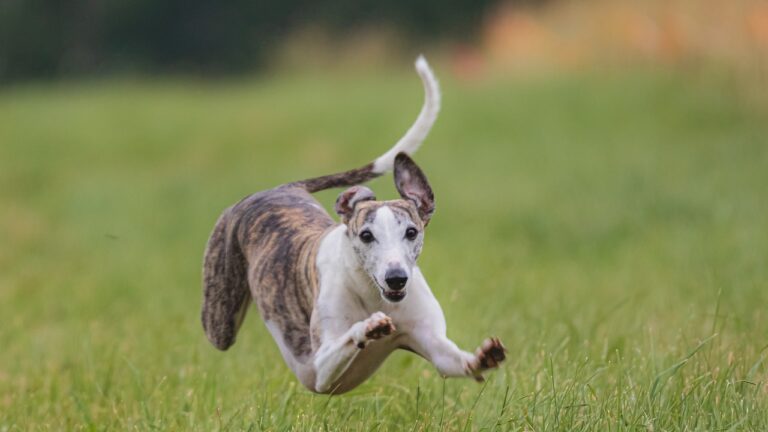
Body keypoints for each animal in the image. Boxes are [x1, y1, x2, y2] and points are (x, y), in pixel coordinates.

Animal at [201, 55, 508, 394]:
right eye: (366, 235)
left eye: (411, 232)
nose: (396, 279)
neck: (373, 294)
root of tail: (283, 188)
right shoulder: (318, 371)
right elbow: (348, 337)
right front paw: (368, 328)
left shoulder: (433, 344)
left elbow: (455, 360)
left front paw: (484, 356)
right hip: (220, 322)